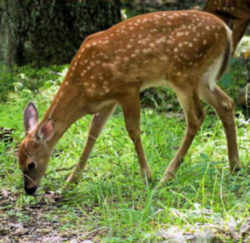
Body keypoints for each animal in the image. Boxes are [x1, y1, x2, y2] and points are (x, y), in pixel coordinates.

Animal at [17, 0, 248, 195]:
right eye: (18, 162)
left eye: (31, 164)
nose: (29, 190)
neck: (83, 90)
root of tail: (226, 30)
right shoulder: (107, 101)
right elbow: (93, 133)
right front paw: (70, 182)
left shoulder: (128, 88)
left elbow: (133, 130)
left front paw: (147, 176)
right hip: (203, 79)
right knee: (226, 104)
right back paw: (235, 166)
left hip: (184, 74)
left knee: (196, 117)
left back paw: (167, 176)